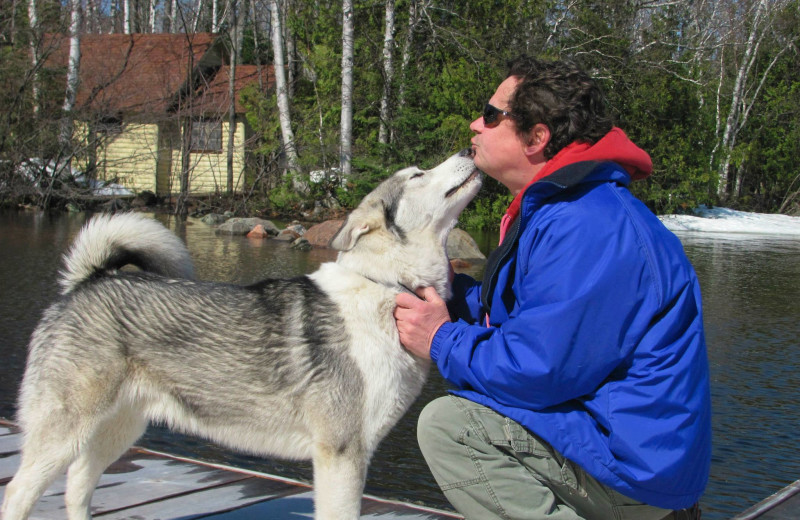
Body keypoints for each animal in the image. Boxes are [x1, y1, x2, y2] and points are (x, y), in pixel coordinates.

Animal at [0, 149, 482, 520]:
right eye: (417, 174)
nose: (469, 148)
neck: (387, 285)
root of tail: (89, 282)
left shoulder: (352, 455)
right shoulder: (341, 455)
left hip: (116, 430)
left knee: (78, 486)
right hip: (63, 434)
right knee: (18, 493)